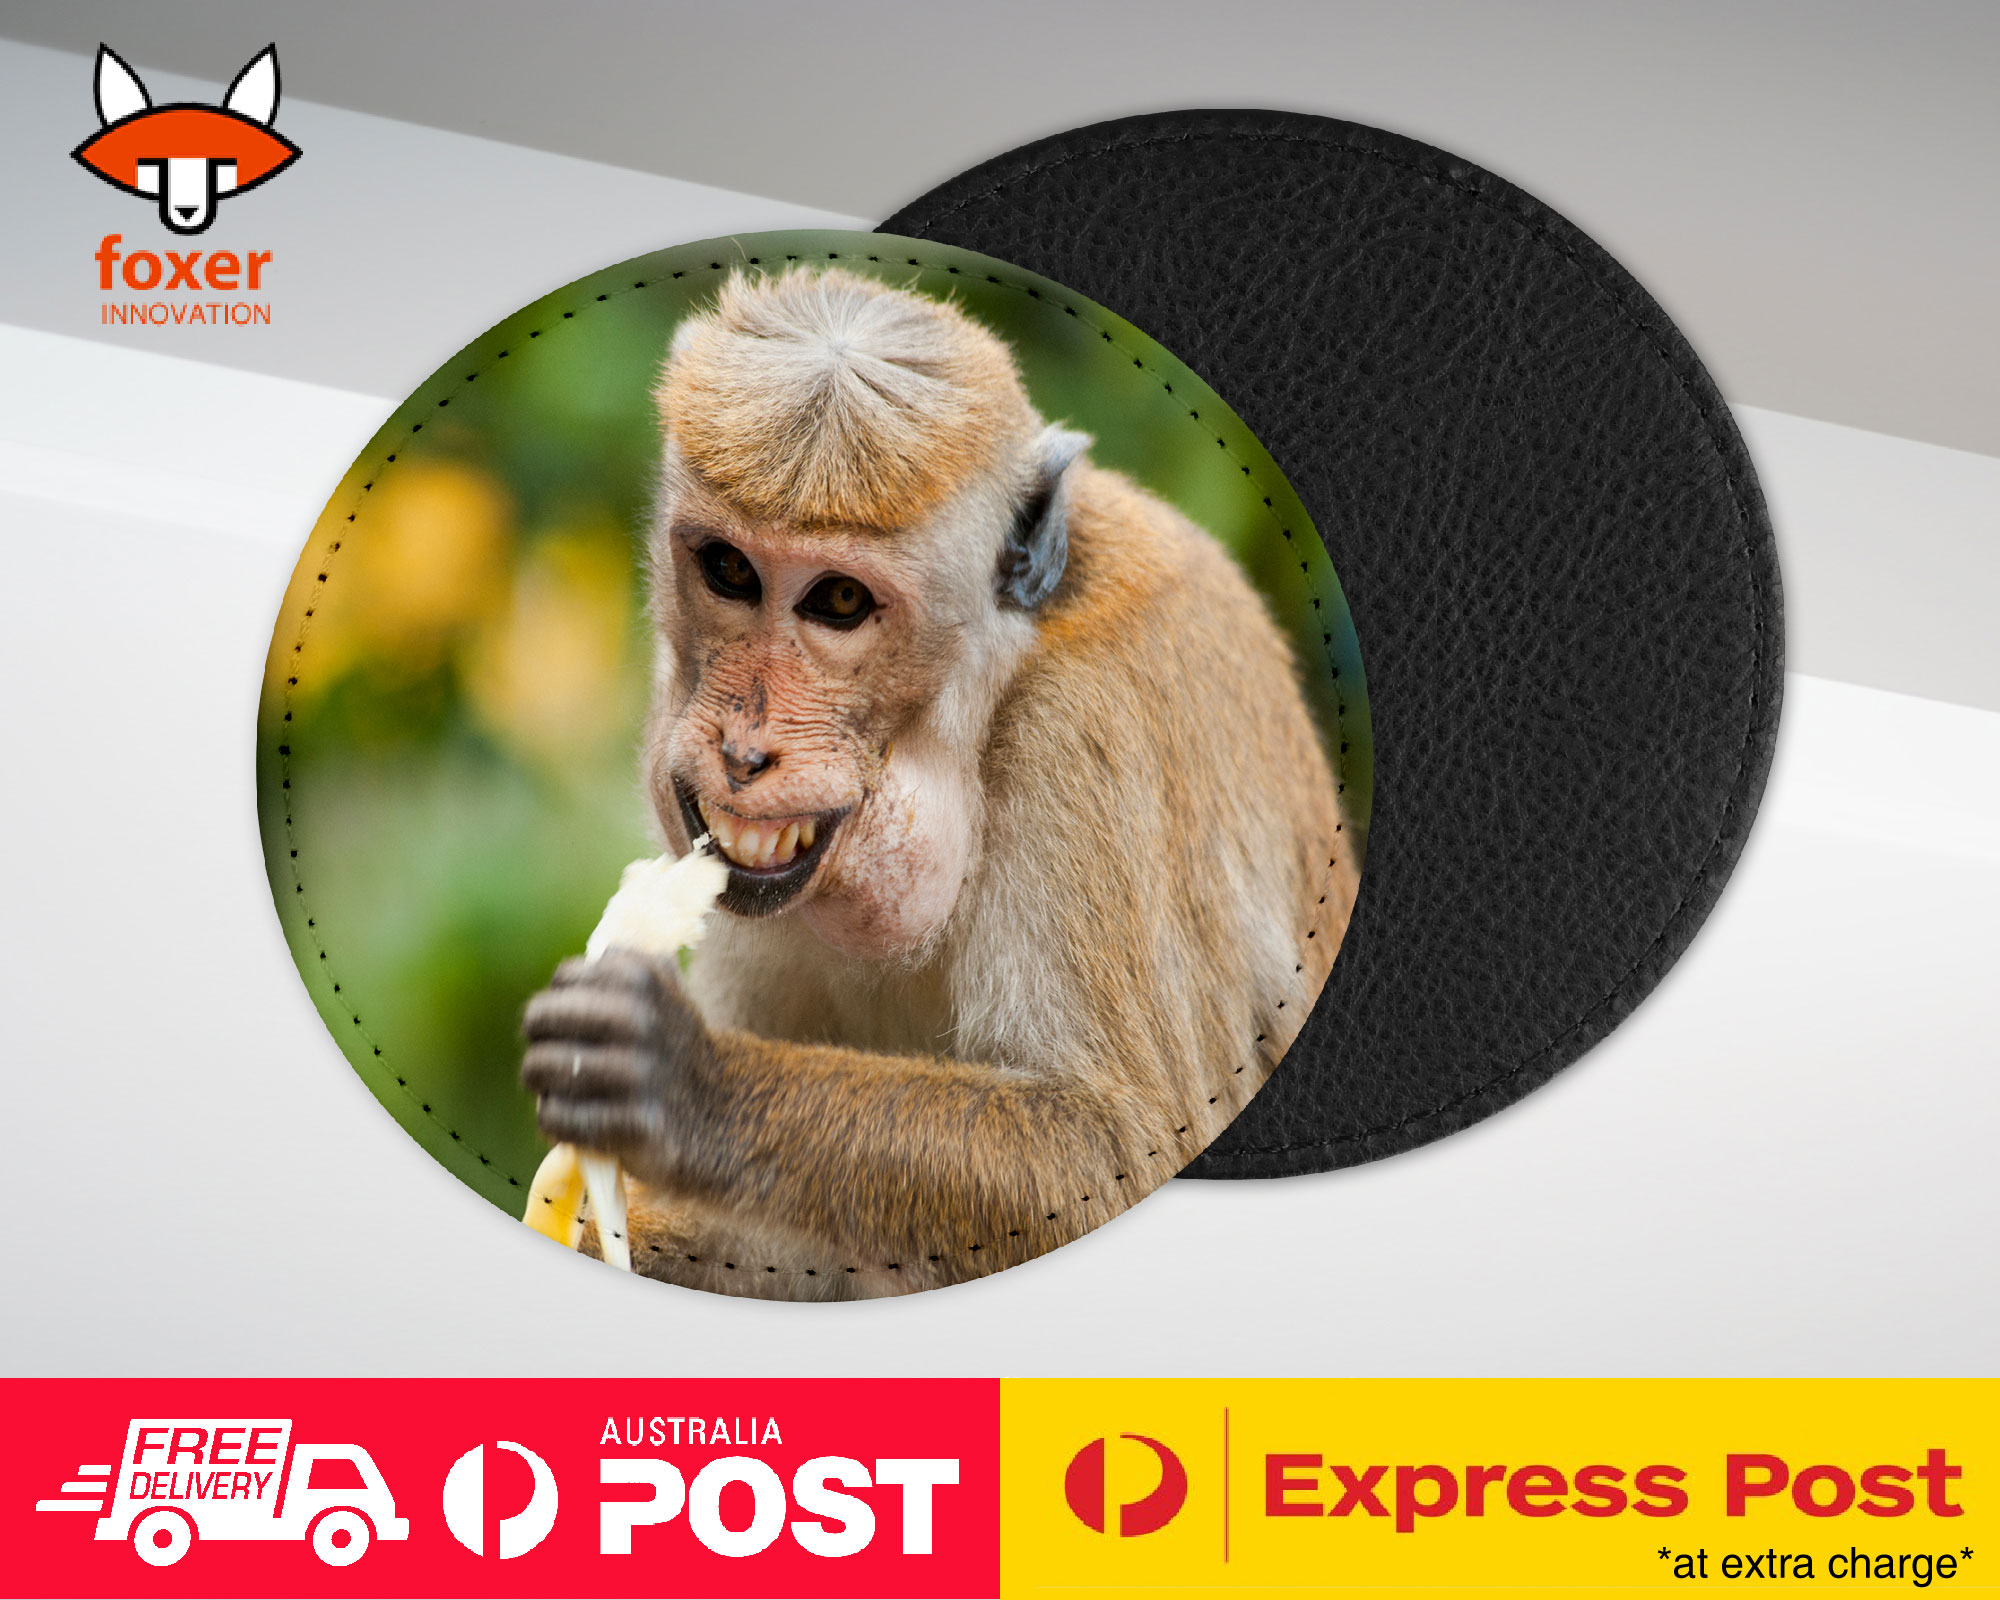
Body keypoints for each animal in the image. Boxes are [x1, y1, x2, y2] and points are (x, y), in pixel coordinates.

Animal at [521, 266, 1357, 1300]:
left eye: (839, 601)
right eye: (728, 570)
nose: (744, 753)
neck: (990, 689)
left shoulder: (1081, 739)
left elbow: (1119, 1150)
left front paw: (688, 1087)